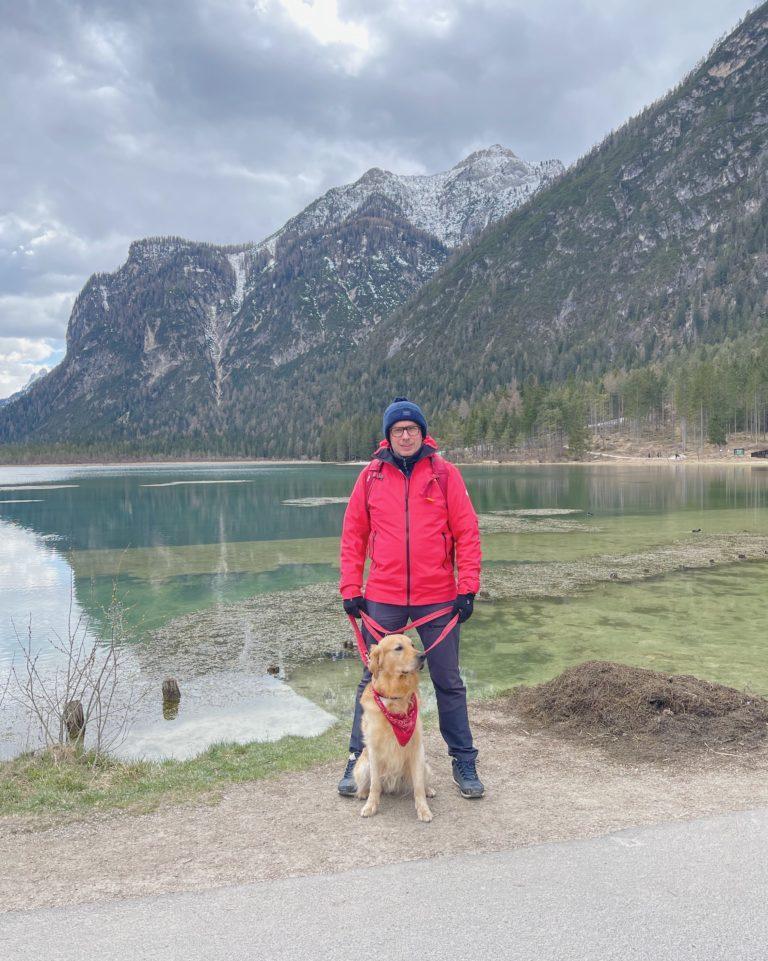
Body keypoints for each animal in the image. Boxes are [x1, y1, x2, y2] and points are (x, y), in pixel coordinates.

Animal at [352, 632, 436, 820]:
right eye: (398, 648)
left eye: (412, 645)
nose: (423, 656)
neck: (395, 698)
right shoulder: (374, 750)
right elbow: (375, 784)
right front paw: (371, 806)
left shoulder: (416, 748)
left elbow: (418, 786)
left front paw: (423, 810)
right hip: (363, 765)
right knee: (367, 784)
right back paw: (362, 793)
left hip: (424, 763)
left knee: (422, 782)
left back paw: (429, 790)